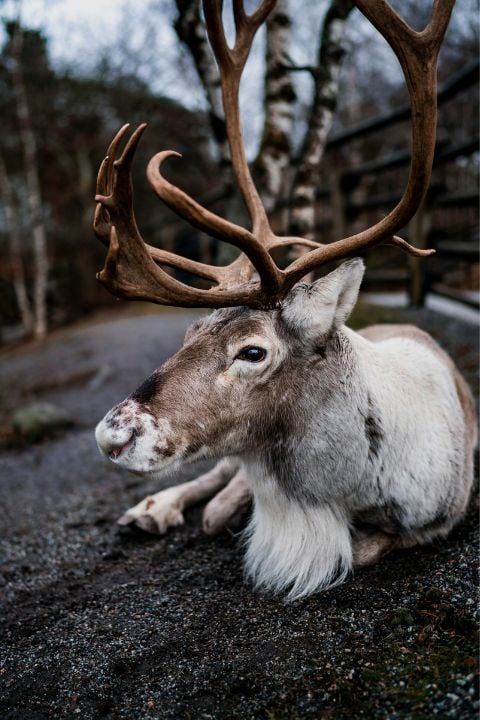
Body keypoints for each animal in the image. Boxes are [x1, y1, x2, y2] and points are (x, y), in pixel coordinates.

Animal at [93, 0, 477, 600]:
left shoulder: (437, 518)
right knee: (213, 476)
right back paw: (153, 509)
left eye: (253, 351)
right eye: (189, 331)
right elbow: (222, 505)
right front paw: (214, 508)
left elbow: (357, 550)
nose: (113, 433)